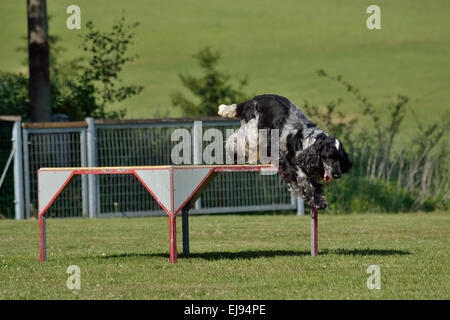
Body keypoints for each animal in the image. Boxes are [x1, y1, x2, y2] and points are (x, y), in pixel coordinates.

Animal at [218, 94, 352, 211]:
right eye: (329, 157)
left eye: (340, 158)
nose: (337, 174)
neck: (308, 141)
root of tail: (251, 100)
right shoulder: (289, 163)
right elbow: (305, 182)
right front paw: (317, 201)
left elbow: (314, 185)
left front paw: (319, 201)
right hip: (253, 134)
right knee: (235, 139)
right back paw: (234, 155)